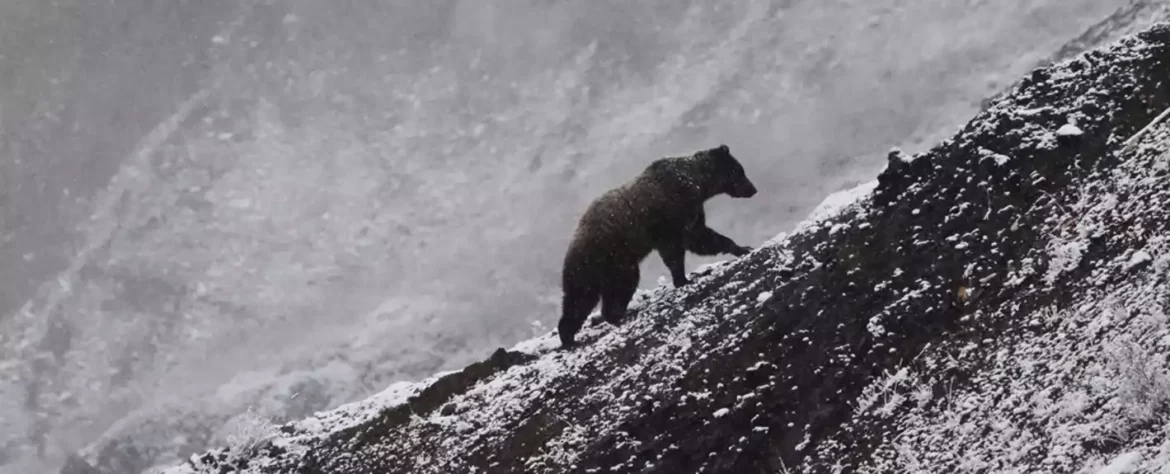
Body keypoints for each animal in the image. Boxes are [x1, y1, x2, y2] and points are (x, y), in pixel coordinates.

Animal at [556, 142, 758, 346]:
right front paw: (684, 278)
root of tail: (570, 248)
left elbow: (700, 238)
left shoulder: (688, 213)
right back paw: (578, 333)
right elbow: (684, 246)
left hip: (607, 268)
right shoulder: (671, 216)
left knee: (586, 298)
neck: (697, 182)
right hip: (607, 260)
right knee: (592, 294)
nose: (753, 189)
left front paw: (742, 248)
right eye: (739, 171)